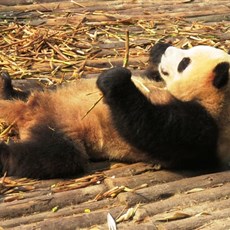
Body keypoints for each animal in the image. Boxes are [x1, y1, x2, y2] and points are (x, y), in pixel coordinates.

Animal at [0, 43, 229, 180]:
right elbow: (150, 75)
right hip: (44, 96)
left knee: (55, 155)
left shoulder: (205, 124)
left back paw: (4, 153)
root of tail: (30, 113)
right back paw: (6, 87)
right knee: (29, 94)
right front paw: (158, 49)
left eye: (184, 63)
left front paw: (114, 79)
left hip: (58, 129)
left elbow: (155, 130)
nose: (168, 51)